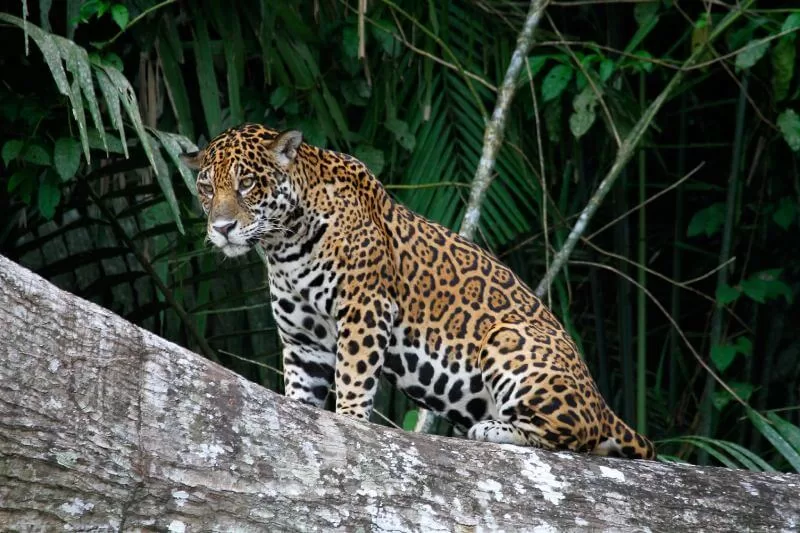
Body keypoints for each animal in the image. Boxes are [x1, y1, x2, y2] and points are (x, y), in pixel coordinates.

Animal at [181, 123, 656, 460]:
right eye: (206, 187)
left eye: (247, 184)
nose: (222, 228)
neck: (283, 245)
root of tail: (604, 405)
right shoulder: (303, 341)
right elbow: (300, 394)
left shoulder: (365, 308)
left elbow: (353, 377)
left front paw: (350, 420)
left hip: (509, 339)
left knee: (575, 435)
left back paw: (494, 430)